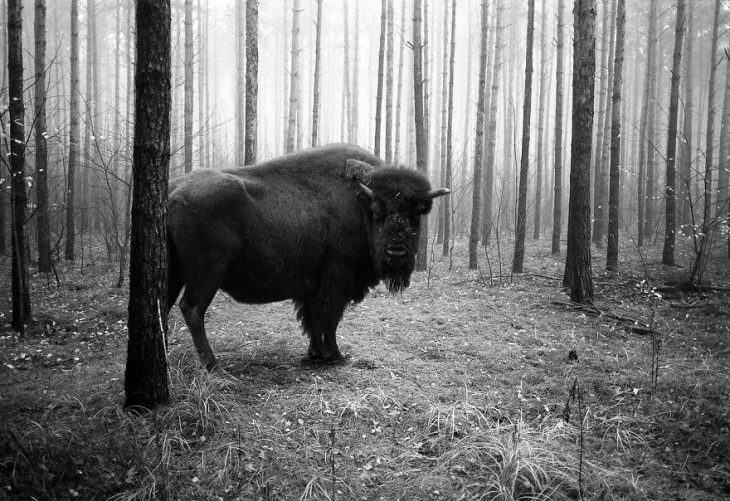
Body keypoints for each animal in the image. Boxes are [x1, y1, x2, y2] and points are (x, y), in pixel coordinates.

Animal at [167, 143, 446, 370]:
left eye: (417, 214)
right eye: (377, 212)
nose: (396, 253)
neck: (360, 203)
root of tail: (174, 192)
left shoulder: (312, 287)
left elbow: (313, 320)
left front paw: (314, 355)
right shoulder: (337, 280)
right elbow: (329, 319)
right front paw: (335, 356)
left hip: (176, 272)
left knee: (167, 304)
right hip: (207, 273)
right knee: (192, 309)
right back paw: (213, 365)